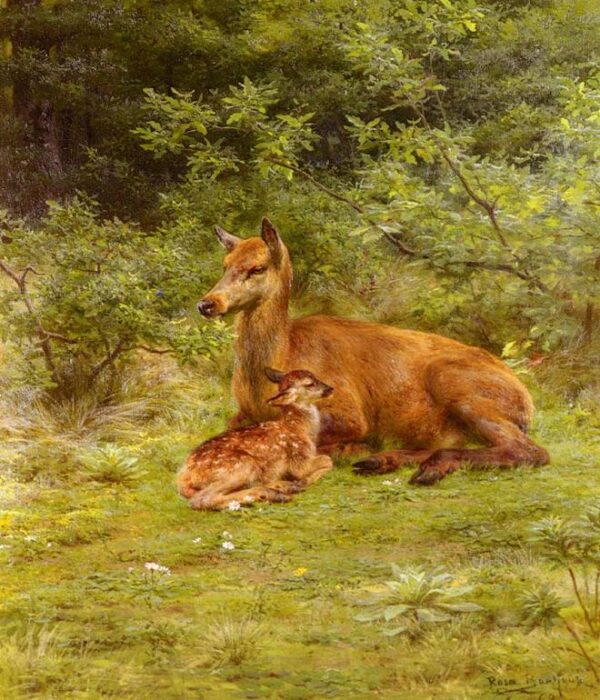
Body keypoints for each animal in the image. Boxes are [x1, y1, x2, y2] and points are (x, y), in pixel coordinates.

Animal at [177, 368, 334, 510]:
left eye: (315, 376)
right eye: (309, 383)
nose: (330, 388)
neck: (299, 429)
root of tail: (185, 474)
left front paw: (297, 483)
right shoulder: (298, 459)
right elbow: (327, 460)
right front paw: (304, 481)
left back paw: (281, 488)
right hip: (240, 466)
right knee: (201, 499)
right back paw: (275, 494)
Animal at [196, 218, 549, 486]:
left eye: (257, 268)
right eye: (225, 265)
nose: (207, 303)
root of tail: (527, 402)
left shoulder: (349, 412)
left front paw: (353, 448)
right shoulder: (242, 412)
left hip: (457, 384)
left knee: (531, 451)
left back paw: (424, 467)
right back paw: (383, 461)